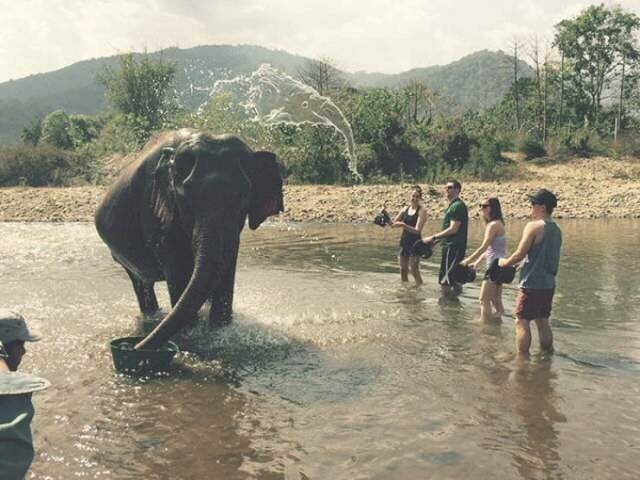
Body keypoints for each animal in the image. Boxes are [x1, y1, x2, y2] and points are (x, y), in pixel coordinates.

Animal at [94, 130, 282, 348]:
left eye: (244, 197)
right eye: (186, 200)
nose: (134, 347)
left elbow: (225, 266)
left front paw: (220, 330)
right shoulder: (155, 212)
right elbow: (178, 269)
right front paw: (191, 332)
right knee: (141, 284)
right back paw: (152, 318)